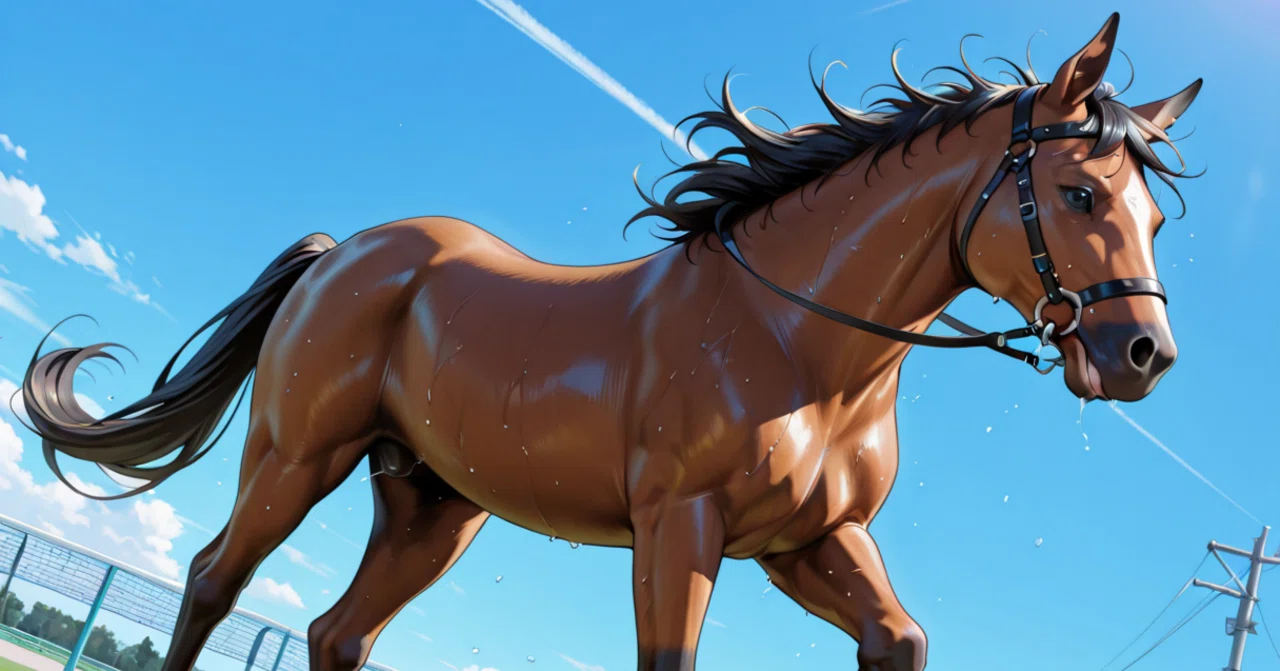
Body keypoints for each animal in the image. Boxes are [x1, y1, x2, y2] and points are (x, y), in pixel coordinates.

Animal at [20, 12, 1199, 671]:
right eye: (1079, 190)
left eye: (1152, 213)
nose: (1142, 356)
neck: (798, 342)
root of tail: (346, 252)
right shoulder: (680, 527)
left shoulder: (814, 539)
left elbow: (897, 639)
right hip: (294, 457)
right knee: (214, 581)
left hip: (431, 505)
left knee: (337, 634)